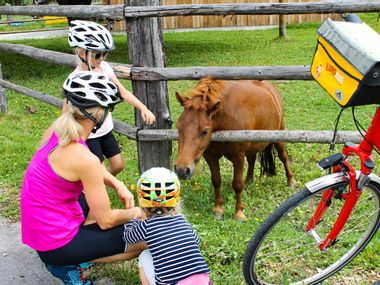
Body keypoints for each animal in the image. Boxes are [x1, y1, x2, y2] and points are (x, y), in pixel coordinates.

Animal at [174, 76, 296, 220]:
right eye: (178, 127)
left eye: (204, 131)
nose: (182, 170)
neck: (224, 119)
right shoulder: (210, 156)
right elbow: (216, 181)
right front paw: (218, 209)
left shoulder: (238, 156)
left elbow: (237, 184)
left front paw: (239, 212)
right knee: (252, 159)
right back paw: (249, 180)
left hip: (279, 135)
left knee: (283, 157)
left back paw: (291, 180)